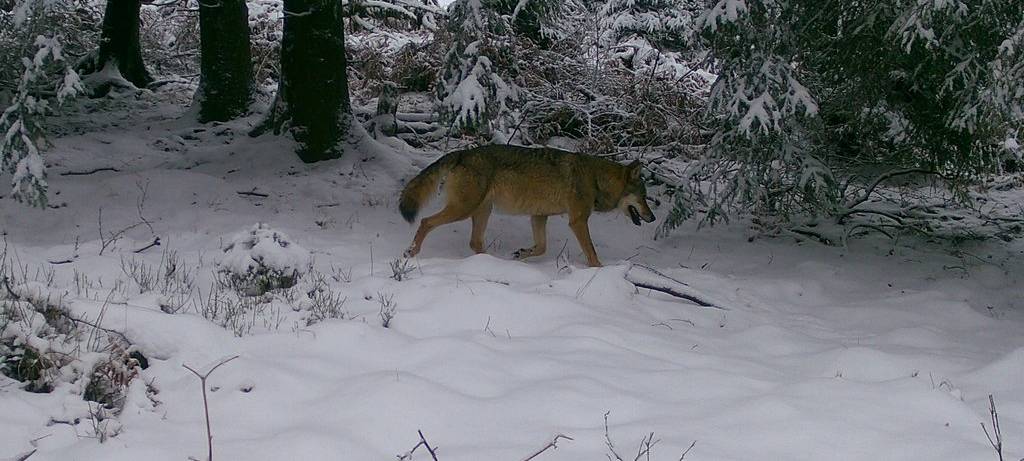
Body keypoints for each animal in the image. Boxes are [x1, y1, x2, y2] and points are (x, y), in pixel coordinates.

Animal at [398, 145, 656, 267]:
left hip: (482, 211)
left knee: (475, 243)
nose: (652, 218)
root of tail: (462, 152)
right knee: (426, 221)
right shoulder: (578, 221)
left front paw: (521, 254)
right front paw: (599, 270)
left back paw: (492, 262)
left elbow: (541, 247)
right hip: (463, 209)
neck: (595, 179)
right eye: (644, 197)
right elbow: (592, 253)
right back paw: (411, 251)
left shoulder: (538, 216)